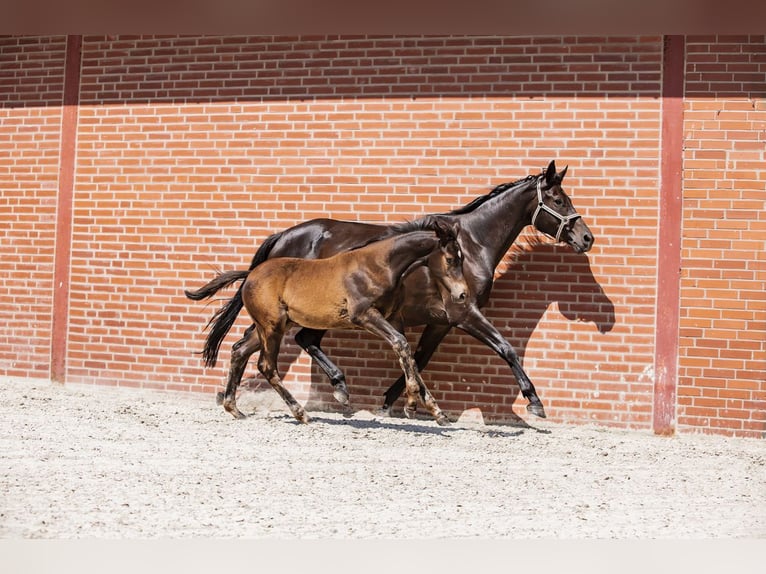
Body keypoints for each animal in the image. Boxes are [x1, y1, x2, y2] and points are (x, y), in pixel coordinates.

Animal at [189, 218, 472, 426]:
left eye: (462, 258)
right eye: (451, 259)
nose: (462, 295)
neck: (378, 266)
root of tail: (250, 275)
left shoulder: (392, 318)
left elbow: (408, 354)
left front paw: (434, 410)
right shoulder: (365, 316)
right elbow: (402, 346)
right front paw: (413, 402)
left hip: (272, 326)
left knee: (240, 350)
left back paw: (234, 408)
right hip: (272, 327)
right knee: (267, 366)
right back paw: (301, 413)